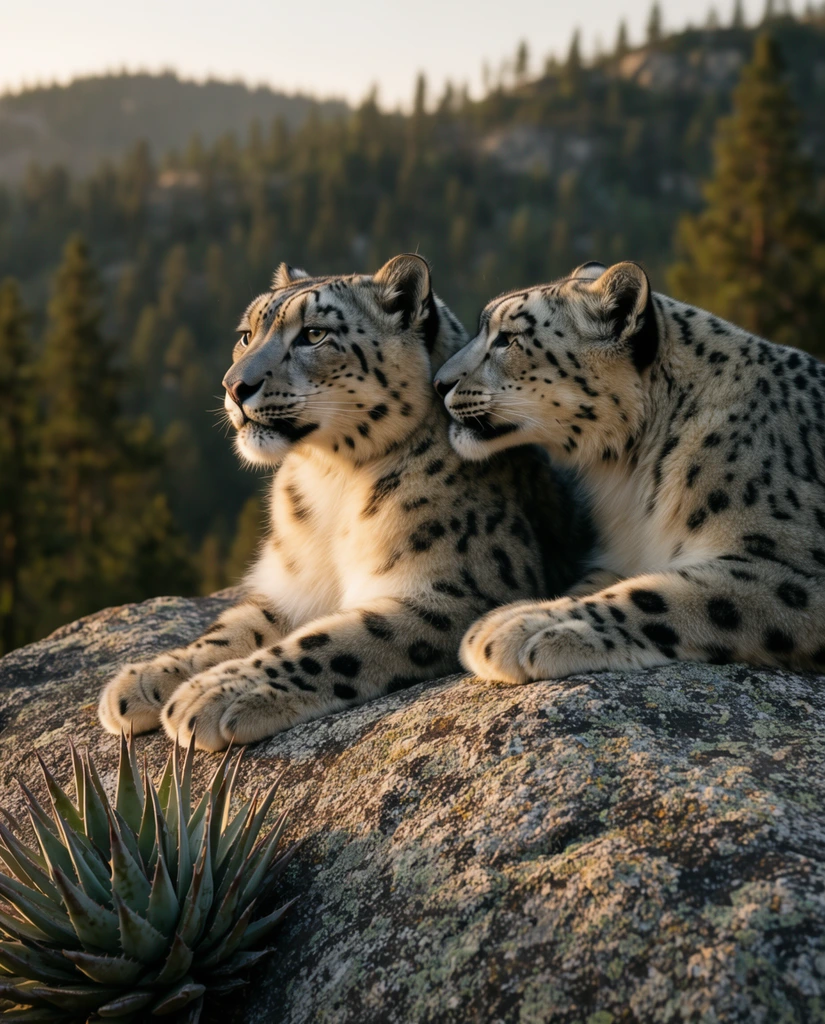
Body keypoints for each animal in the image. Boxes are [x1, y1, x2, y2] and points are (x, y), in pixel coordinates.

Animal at [99, 254, 584, 750]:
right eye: (247, 334)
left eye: (314, 334)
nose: (234, 386)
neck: (331, 482)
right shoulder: (291, 588)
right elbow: (231, 628)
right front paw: (146, 681)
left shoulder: (456, 593)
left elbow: (331, 642)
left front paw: (214, 693)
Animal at [433, 258, 825, 685]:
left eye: (507, 339)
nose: (438, 382)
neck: (631, 481)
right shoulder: (618, 558)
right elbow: (597, 584)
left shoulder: (792, 569)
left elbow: (663, 594)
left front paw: (522, 627)